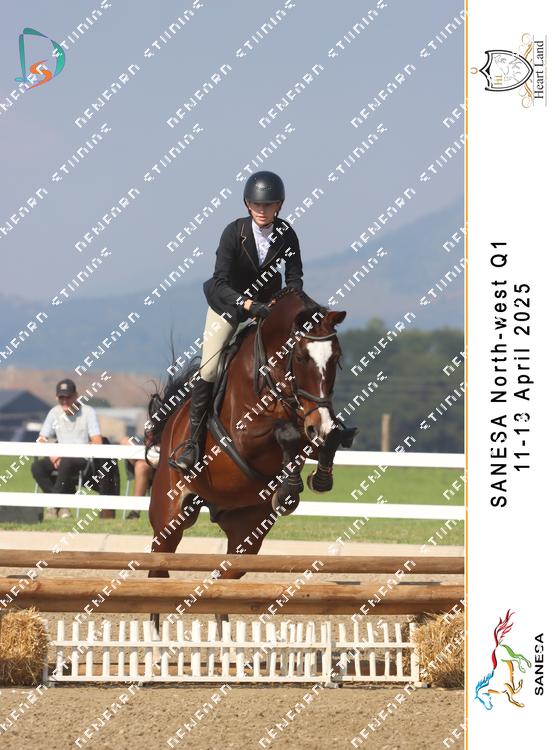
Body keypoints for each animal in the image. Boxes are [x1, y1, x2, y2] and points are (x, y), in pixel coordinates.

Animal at [145, 288, 356, 632]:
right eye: (301, 358)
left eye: (335, 358)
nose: (320, 424)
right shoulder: (244, 437)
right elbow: (286, 433)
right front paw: (290, 488)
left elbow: (323, 438)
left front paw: (315, 478)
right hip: (170, 514)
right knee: (158, 568)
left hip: (247, 533)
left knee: (223, 576)